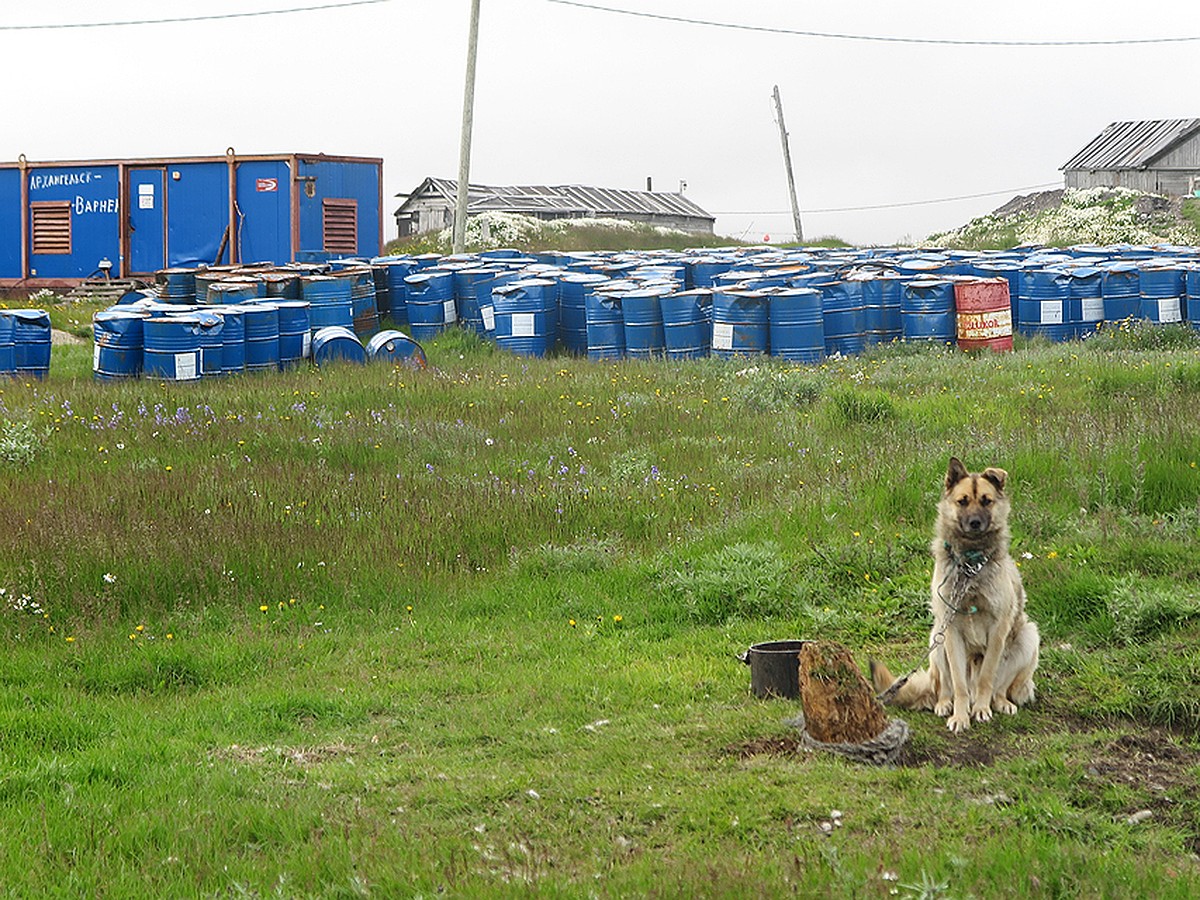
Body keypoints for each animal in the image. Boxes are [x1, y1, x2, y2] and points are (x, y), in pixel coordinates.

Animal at [873, 458, 1041, 734]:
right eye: (962, 501)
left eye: (986, 501)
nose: (974, 523)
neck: (971, 565)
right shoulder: (951, 632)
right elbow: (959, 684)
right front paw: (960, 717)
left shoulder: (998, 629)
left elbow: (987, 678)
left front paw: (981, 710)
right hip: (937, 640)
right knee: (943, 686)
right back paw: (945, 704)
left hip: (1027, 636)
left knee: (999, 687)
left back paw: (999, 702)